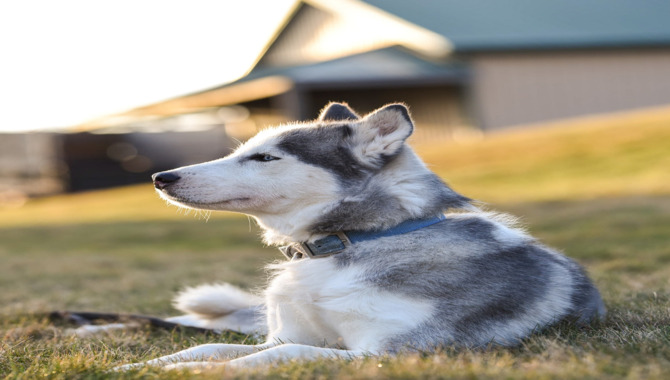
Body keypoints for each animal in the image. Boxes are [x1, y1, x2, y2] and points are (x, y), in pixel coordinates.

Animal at [118, 102, 608, 370]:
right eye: (243, 150)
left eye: (264, 158)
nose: (161, 178)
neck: (344, 244)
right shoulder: (281, 333)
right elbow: (212, 344)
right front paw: (140, 365)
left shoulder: (393, 351)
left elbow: (270, 357)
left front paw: (195, 371)